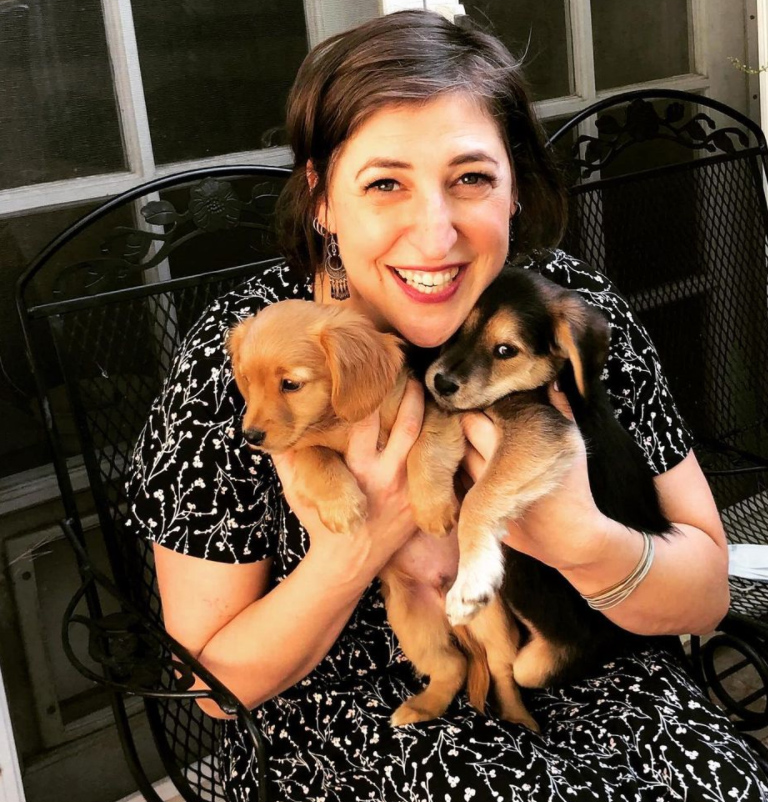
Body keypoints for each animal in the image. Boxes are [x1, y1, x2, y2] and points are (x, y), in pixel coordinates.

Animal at [228, 296, 536, 728]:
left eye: (290, 384)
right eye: (246, 382)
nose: (251, 437)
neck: (338, 421)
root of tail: (444, 592)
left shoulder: (433, 415)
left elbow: (426, 450)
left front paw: (432, 510)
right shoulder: (299, 449)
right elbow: (315, 456)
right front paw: (343, 505)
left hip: (491, 621)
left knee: (502, 670)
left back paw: (520, 719)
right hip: (412, 622)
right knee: (453, 667)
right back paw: (420, 708)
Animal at [426, 266, 672, 684]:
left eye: (505, 351)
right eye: (458, 331)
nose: (441, 383)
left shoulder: (543, 429)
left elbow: (479, 496)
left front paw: (471, 579)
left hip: (532, 666)